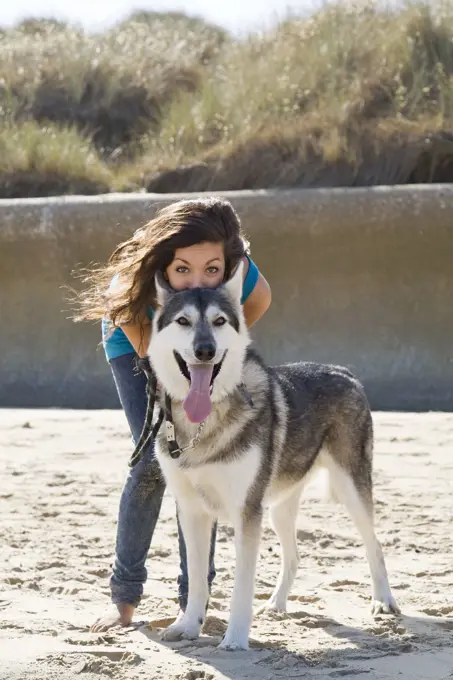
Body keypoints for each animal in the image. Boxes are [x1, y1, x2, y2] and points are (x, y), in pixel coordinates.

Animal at [147, 262, 398, 652]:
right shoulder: (191, 511)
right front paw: (188, 626)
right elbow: (198, 579)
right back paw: (277, 604)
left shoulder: (246, 513)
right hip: (279, 508)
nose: (205, 350)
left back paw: (383, 602)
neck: (204, 423)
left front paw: (235, 639)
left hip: (350, 491)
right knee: (293, 557)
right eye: (183, 321)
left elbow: (241, 585)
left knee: (375, 544)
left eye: (219, 321)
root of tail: (344, 371)